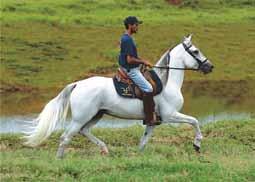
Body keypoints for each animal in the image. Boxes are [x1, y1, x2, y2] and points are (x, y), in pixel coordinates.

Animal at [23, 35, 213, 158]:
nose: (210, 66)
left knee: (84, 131)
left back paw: (104, 149)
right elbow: (194, 121)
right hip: (80, 118)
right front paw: (197, 145)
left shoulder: (153, 120)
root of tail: (77, 84)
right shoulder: (170, 115)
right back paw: (60, 160)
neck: (167, 83)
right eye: (196, 51)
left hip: (96, 115)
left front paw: (139, 156)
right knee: (66, 137)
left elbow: (144, 141)